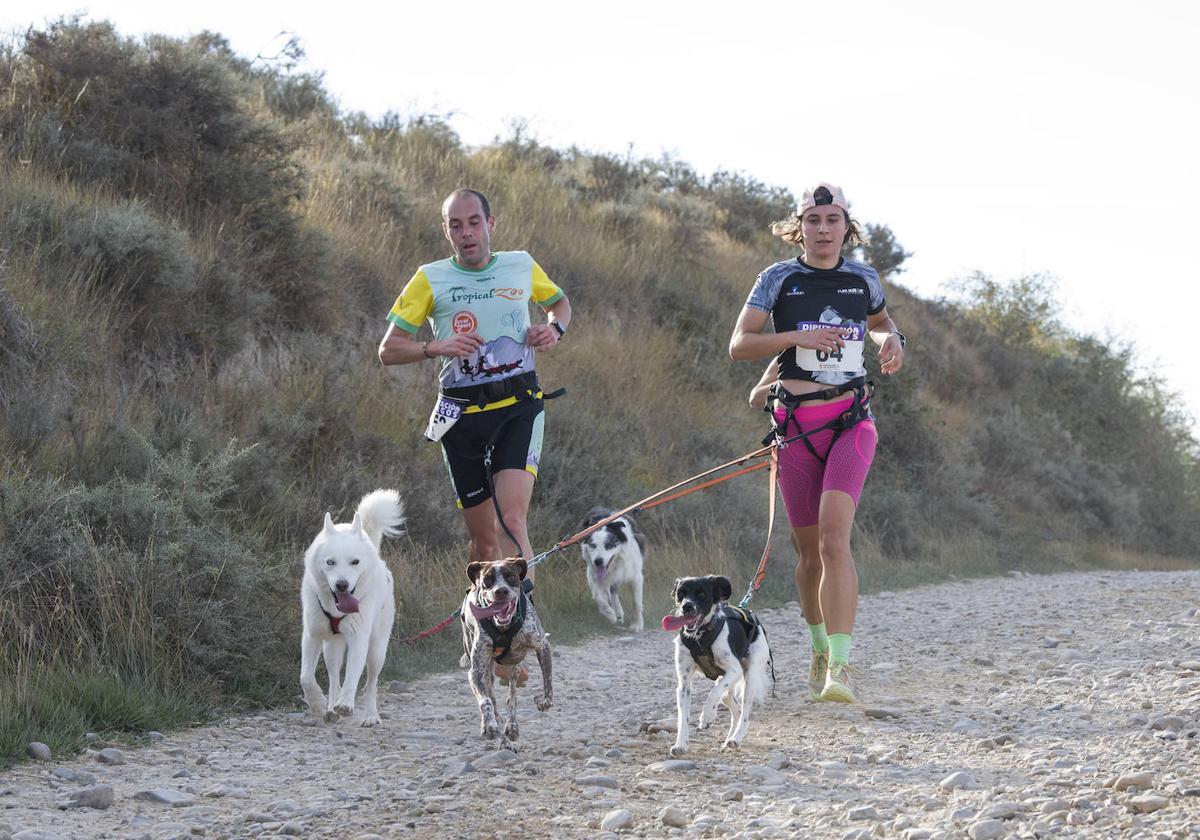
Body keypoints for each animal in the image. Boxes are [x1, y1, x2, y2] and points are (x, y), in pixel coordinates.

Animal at [302, 489, 405, 724]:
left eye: (355, 562)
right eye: (330, 562)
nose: (342, 585)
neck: (335, 609)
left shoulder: (359, 638)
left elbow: (353, 674)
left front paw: (346, 704)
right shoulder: (312, 635)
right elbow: (306, 678)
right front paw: (319, 705)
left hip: (377, 650)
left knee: (371, 684)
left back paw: (371, 716)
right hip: (331, 647)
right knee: (333, 676)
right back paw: (331, 708)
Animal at [458, 556, 552, 748]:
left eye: (510, 576)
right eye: (487, 579)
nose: (500, 591)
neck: (503, 629)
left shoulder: (542, 646)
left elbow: (548, 691)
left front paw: (541, 701)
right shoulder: (476, 670)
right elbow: (485, 701)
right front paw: (488, 726)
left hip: (514, 666)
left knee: (512, 695)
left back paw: (512, 726)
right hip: (486, 670)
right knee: (493, 699)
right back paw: (504, 739)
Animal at [662, 578, 772, 753]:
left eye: (701, 594)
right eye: (681, 593)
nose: (686, 606)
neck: (699, 637)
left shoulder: (734, 670)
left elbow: (712, 694)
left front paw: (706, 717)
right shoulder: (684, 684)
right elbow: (683, 716)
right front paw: (681, 744)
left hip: (749, 677)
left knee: (744, 713)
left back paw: (736, 738)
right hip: (727, 688)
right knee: (735, 708)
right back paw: (728, 739)